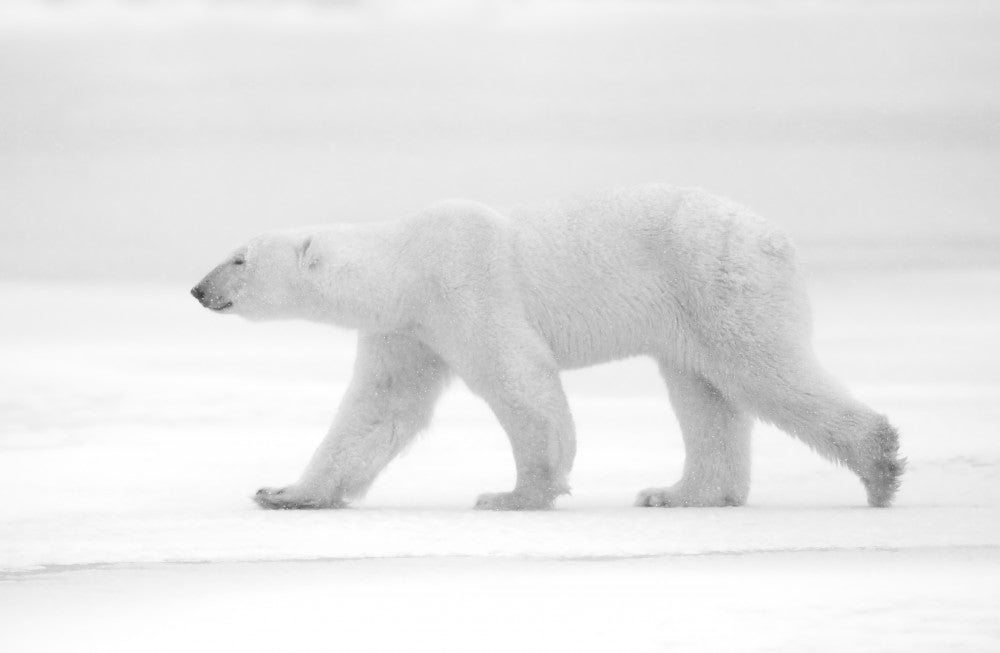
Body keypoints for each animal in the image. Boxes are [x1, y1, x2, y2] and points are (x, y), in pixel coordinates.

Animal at [191, 184, 904, 510]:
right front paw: (283, 492)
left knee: (762, 371)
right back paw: (677, 492)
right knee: (703, 394)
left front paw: (512, 494)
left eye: (238, 258)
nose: (198, 289)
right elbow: (380, 411)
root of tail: (775, 237)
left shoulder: (465, 284)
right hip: (690, 312)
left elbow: (520, 379)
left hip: (716, 281)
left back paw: (880, 465)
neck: (405, 263)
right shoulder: (409, 330)